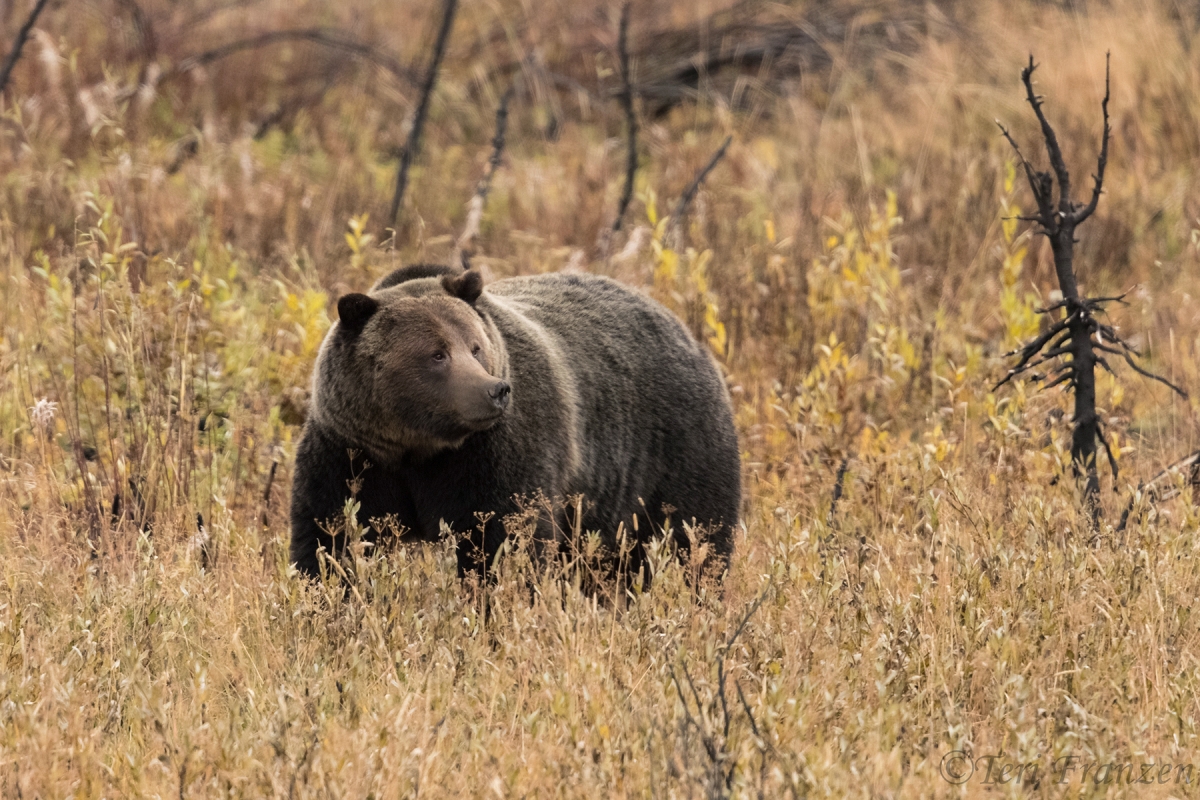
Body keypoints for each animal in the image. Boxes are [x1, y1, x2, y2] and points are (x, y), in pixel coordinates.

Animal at [290, 266, 739, 585]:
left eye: (475, 347)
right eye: (437, 354)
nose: (495, 390)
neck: (418, 449)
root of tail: (686, 331)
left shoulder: (498, 453)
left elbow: (503, 540)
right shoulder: (351, 453)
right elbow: (329, 538)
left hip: (678, 452)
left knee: (696, 539)